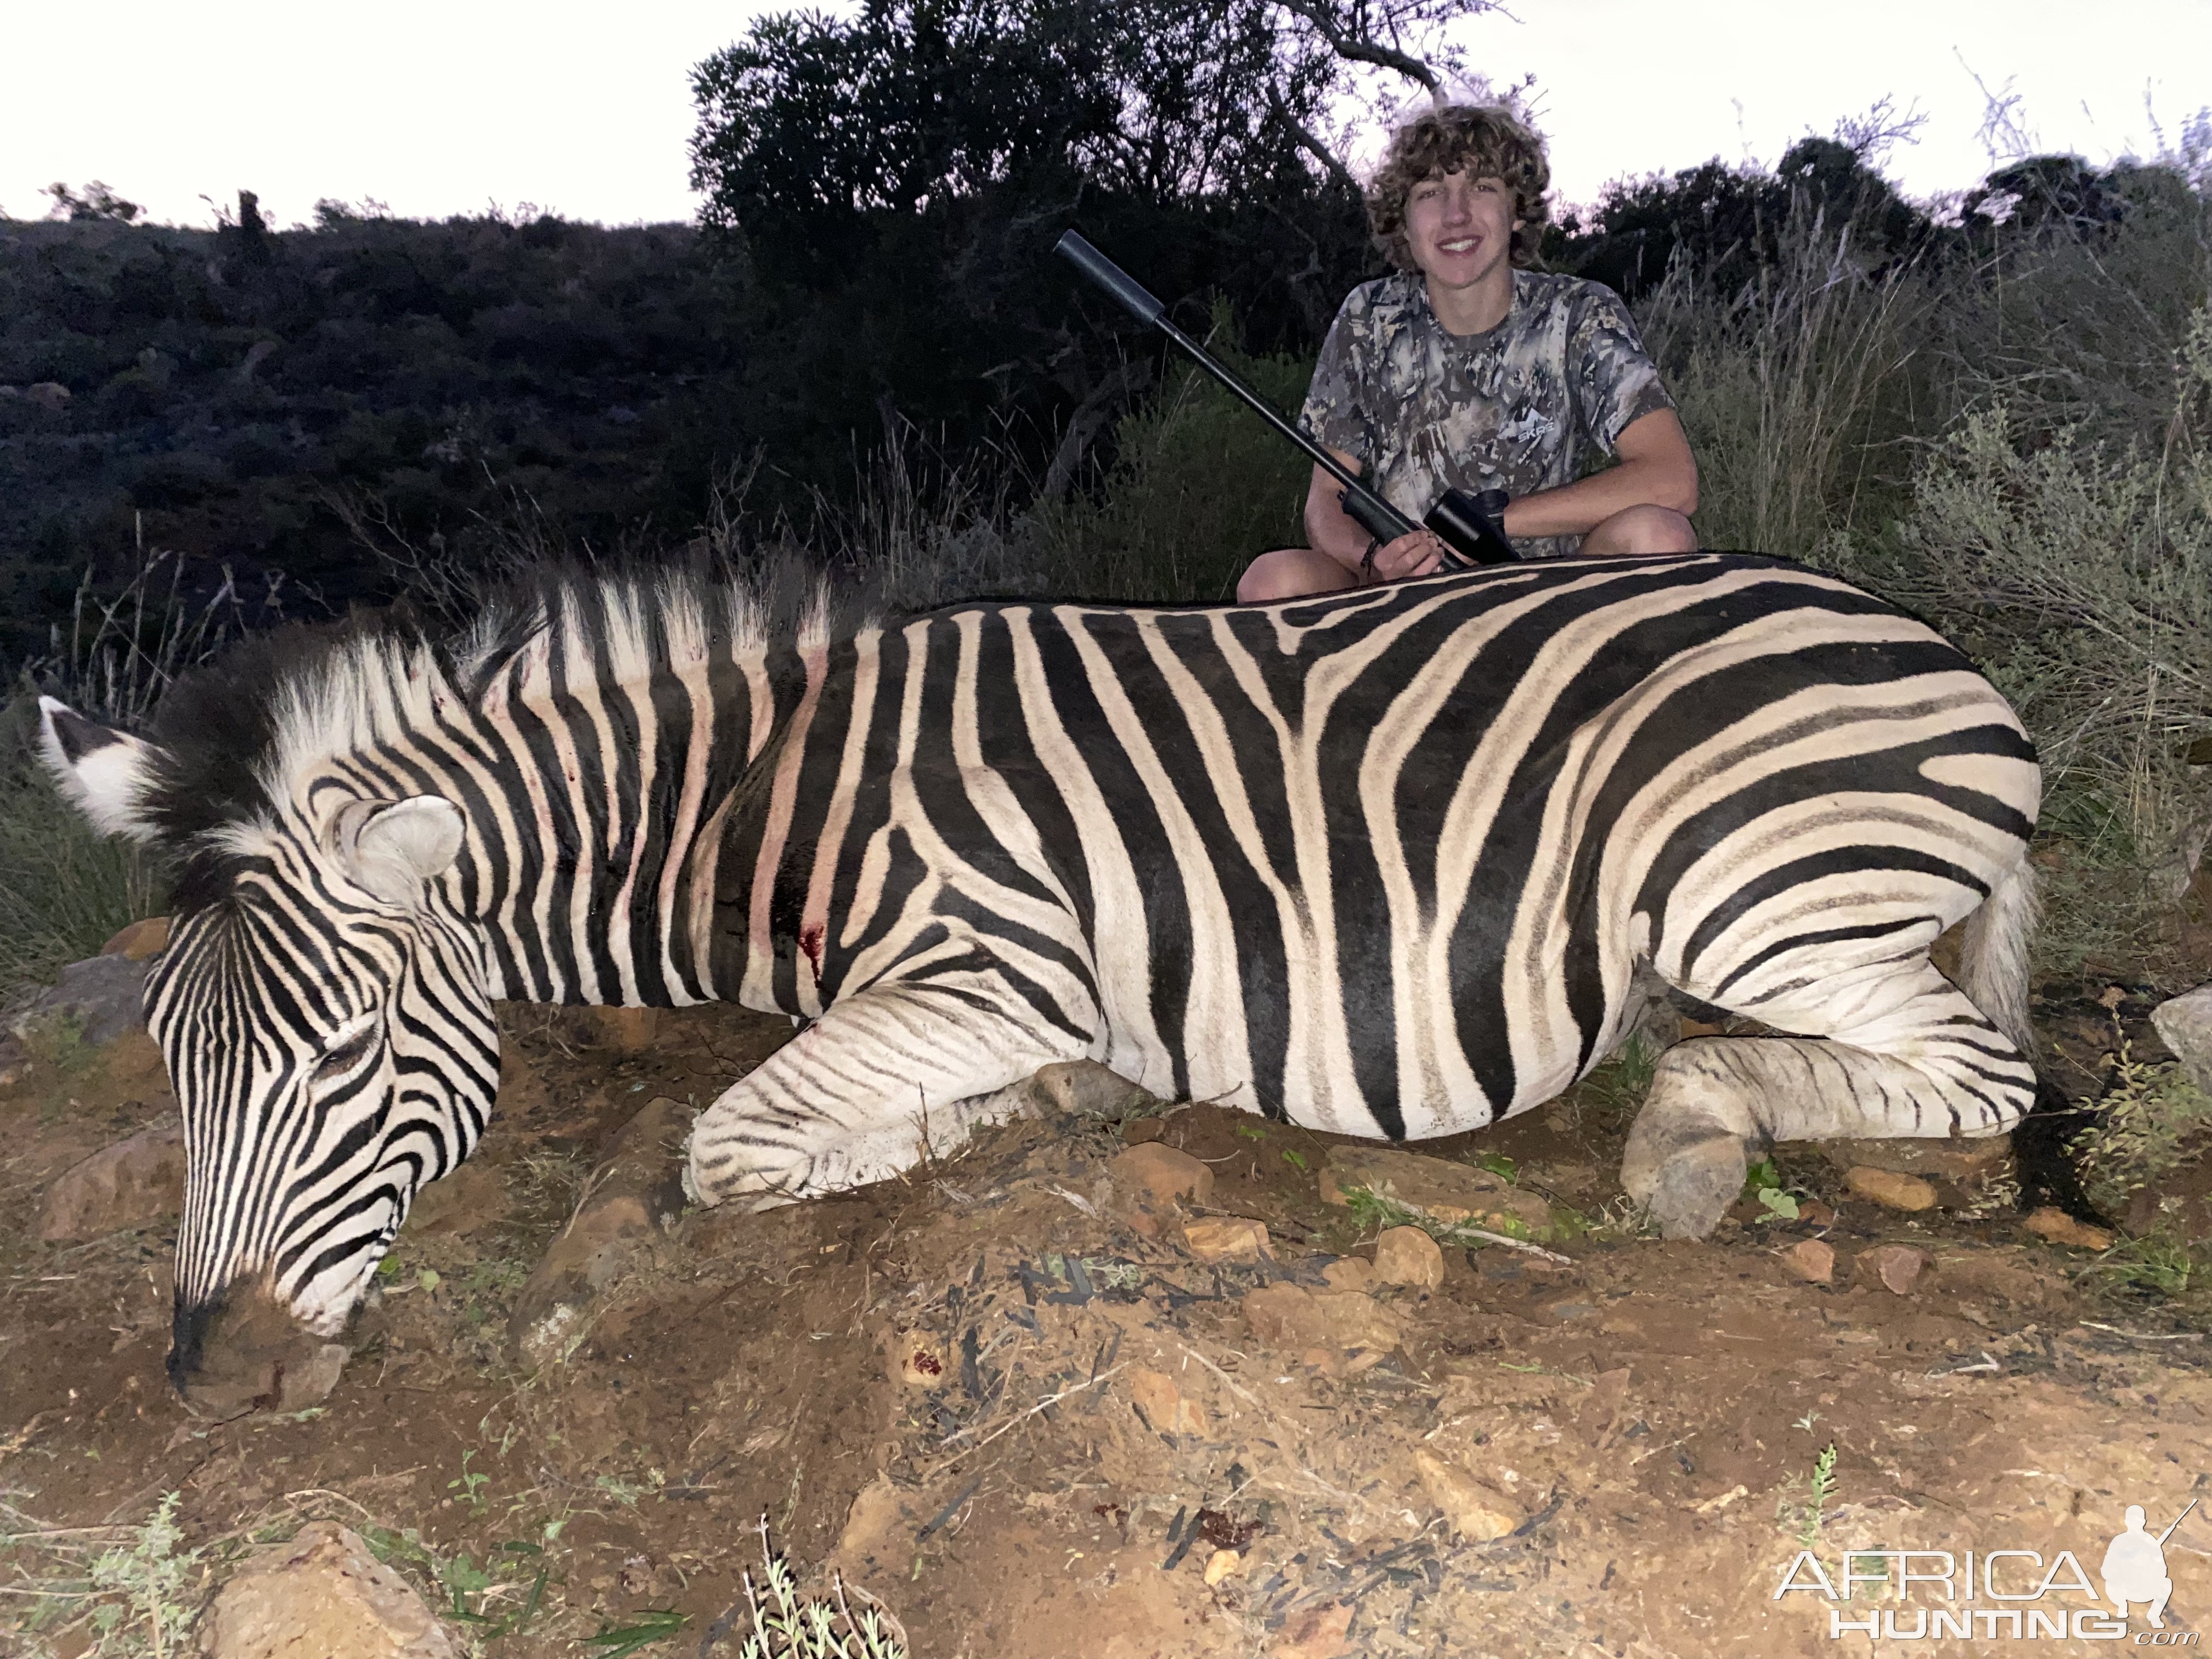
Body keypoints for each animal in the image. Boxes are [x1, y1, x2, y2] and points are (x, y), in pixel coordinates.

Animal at [43, 553, 2052, 1407]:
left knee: (1983, 1082)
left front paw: (1033, 1108)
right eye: (181, 1067)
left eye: (344, 1057)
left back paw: (1695, 1129)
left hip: (1740, 884)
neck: (762, 807)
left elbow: (732, 1144)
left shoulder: (990, 969)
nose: (207, 1381)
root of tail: (1947, 653)